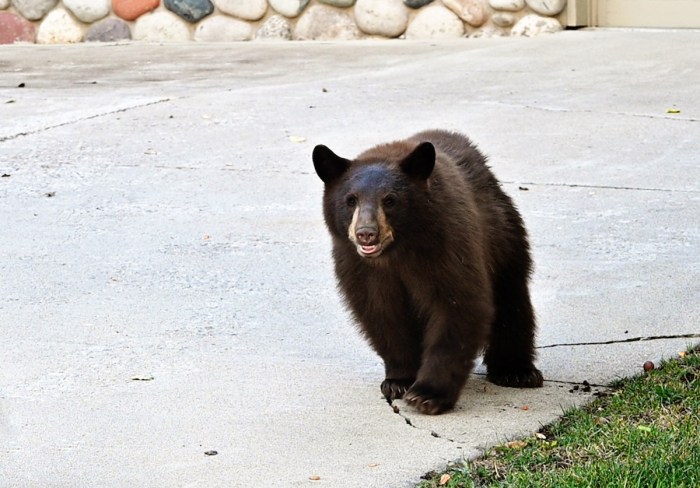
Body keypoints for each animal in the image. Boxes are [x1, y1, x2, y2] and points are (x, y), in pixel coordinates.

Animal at [312, 130, 543, 415]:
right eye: (350, 200)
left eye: (390, 200)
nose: (366, 233)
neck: (396, 254)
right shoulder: (359, 267)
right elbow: (382, 313)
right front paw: (399, 381)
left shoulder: (446, 245)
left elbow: (457, 305)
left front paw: (428, 394)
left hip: (503, 238)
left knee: (512, 300)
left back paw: (516, 371)